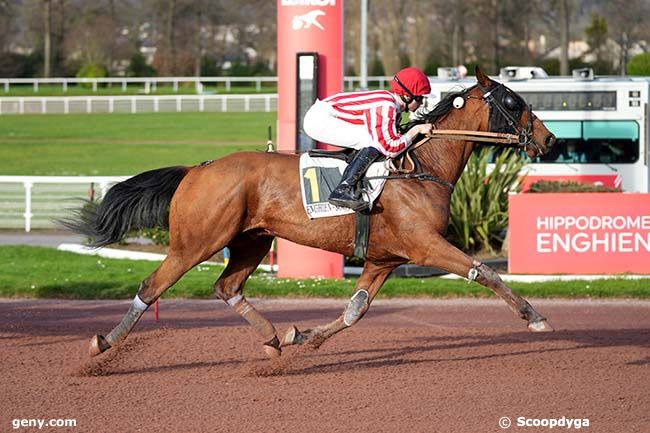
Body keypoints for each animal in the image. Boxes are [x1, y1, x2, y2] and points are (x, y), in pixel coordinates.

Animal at [64, 66, 552, 358]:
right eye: (513, 102)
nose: (548, 141)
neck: (422, 169)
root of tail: (197, 169)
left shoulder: (385, 258)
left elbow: (355, 311)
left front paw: (306, 337)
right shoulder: (426, 246)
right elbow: (483, 272)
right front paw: (536, 317)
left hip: (252, 241)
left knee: (227, 287)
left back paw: (273, 337)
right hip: (196, 243)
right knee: (152, 286)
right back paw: (104, 344)